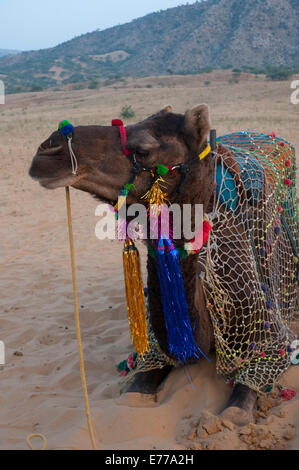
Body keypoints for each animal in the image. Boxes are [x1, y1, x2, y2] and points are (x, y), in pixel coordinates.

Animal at [29, 105, 298, 426]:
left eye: (143, 150)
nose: (48, 149)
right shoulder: (153, 350)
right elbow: (134, 391)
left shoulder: (267, 337)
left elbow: (238, 406)